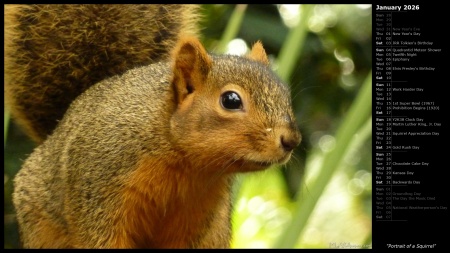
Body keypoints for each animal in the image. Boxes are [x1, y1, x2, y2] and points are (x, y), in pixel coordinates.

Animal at [5, 3, 302, 249]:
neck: (186, 164)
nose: (291, 140)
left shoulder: (198, 217)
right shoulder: (99, 190)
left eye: (285, 94)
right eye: (231, 100)